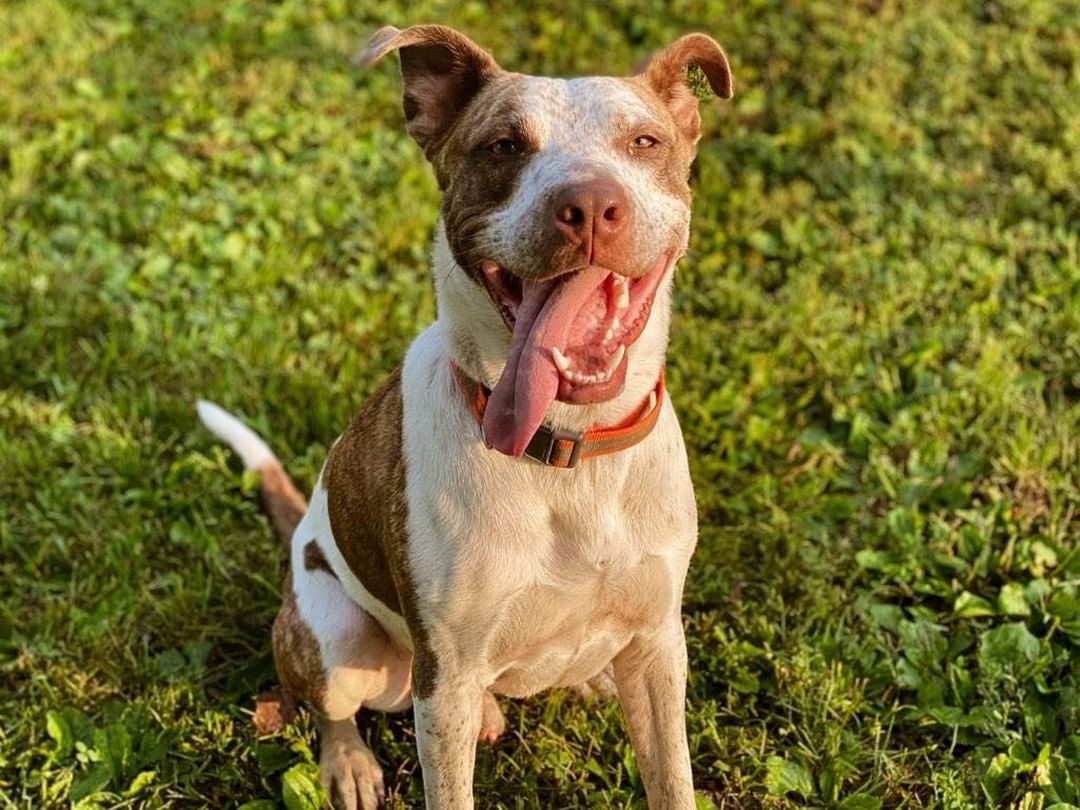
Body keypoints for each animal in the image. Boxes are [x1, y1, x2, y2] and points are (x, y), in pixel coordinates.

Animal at [197, 25, 730, 810]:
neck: (565, 447)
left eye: (644, 141)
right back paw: (349, 762)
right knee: (329, 705)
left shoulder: (661, 647)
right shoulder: (442, 678)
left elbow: (673, 777)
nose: (590, 204)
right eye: (503, 145)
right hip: (343, 642)